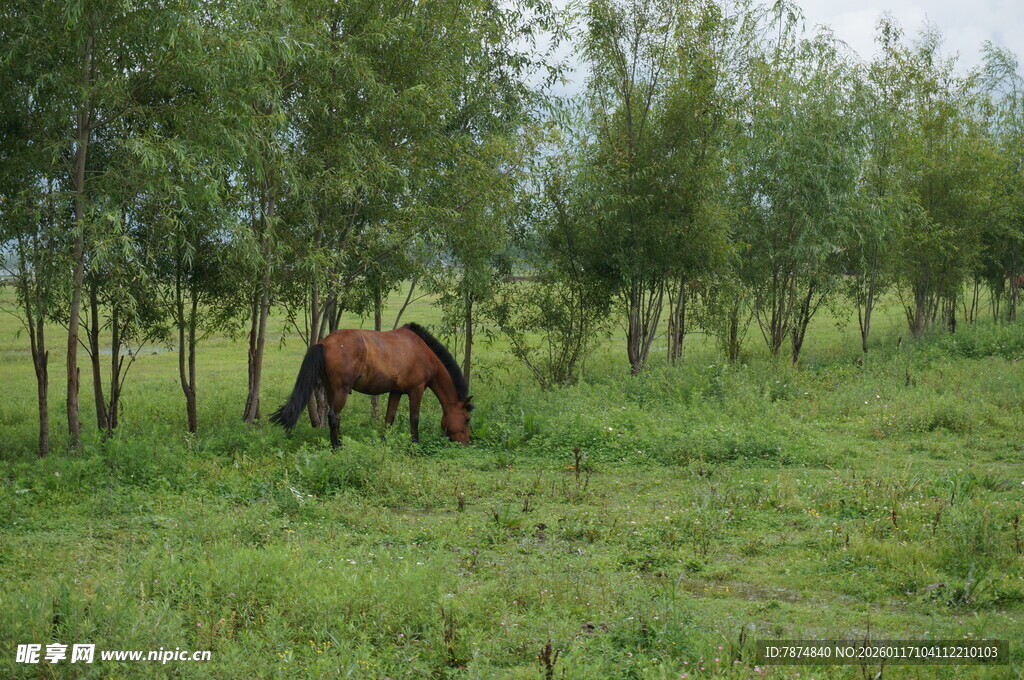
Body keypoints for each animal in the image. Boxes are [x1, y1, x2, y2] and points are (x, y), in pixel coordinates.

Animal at [270, 323, 473, 447]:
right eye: (466, 419)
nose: (467, 442)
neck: (422, 352)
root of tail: (324, 343)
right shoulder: (416, 390)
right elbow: (414, 418)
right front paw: (414, 443)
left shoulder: (396, 391)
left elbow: (389, 418)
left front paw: (384, 441)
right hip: (341, 391)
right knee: (334, 416)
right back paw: (337, 447)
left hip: (330, 390)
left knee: (336, 418)